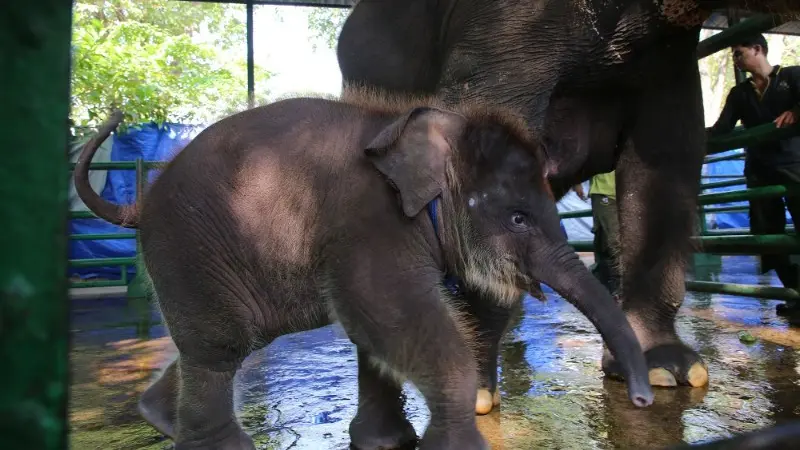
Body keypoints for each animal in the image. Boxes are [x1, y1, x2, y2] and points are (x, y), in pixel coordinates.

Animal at [72, 89, 652, 450]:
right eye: (518, 218)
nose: (641, 398)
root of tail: (140, 201)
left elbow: (376, 332)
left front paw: (387, 442)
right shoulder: (369, 222)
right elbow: (392, 313)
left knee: (228, 342)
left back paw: (156, 417)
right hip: (190, 249)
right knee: (221, 347)